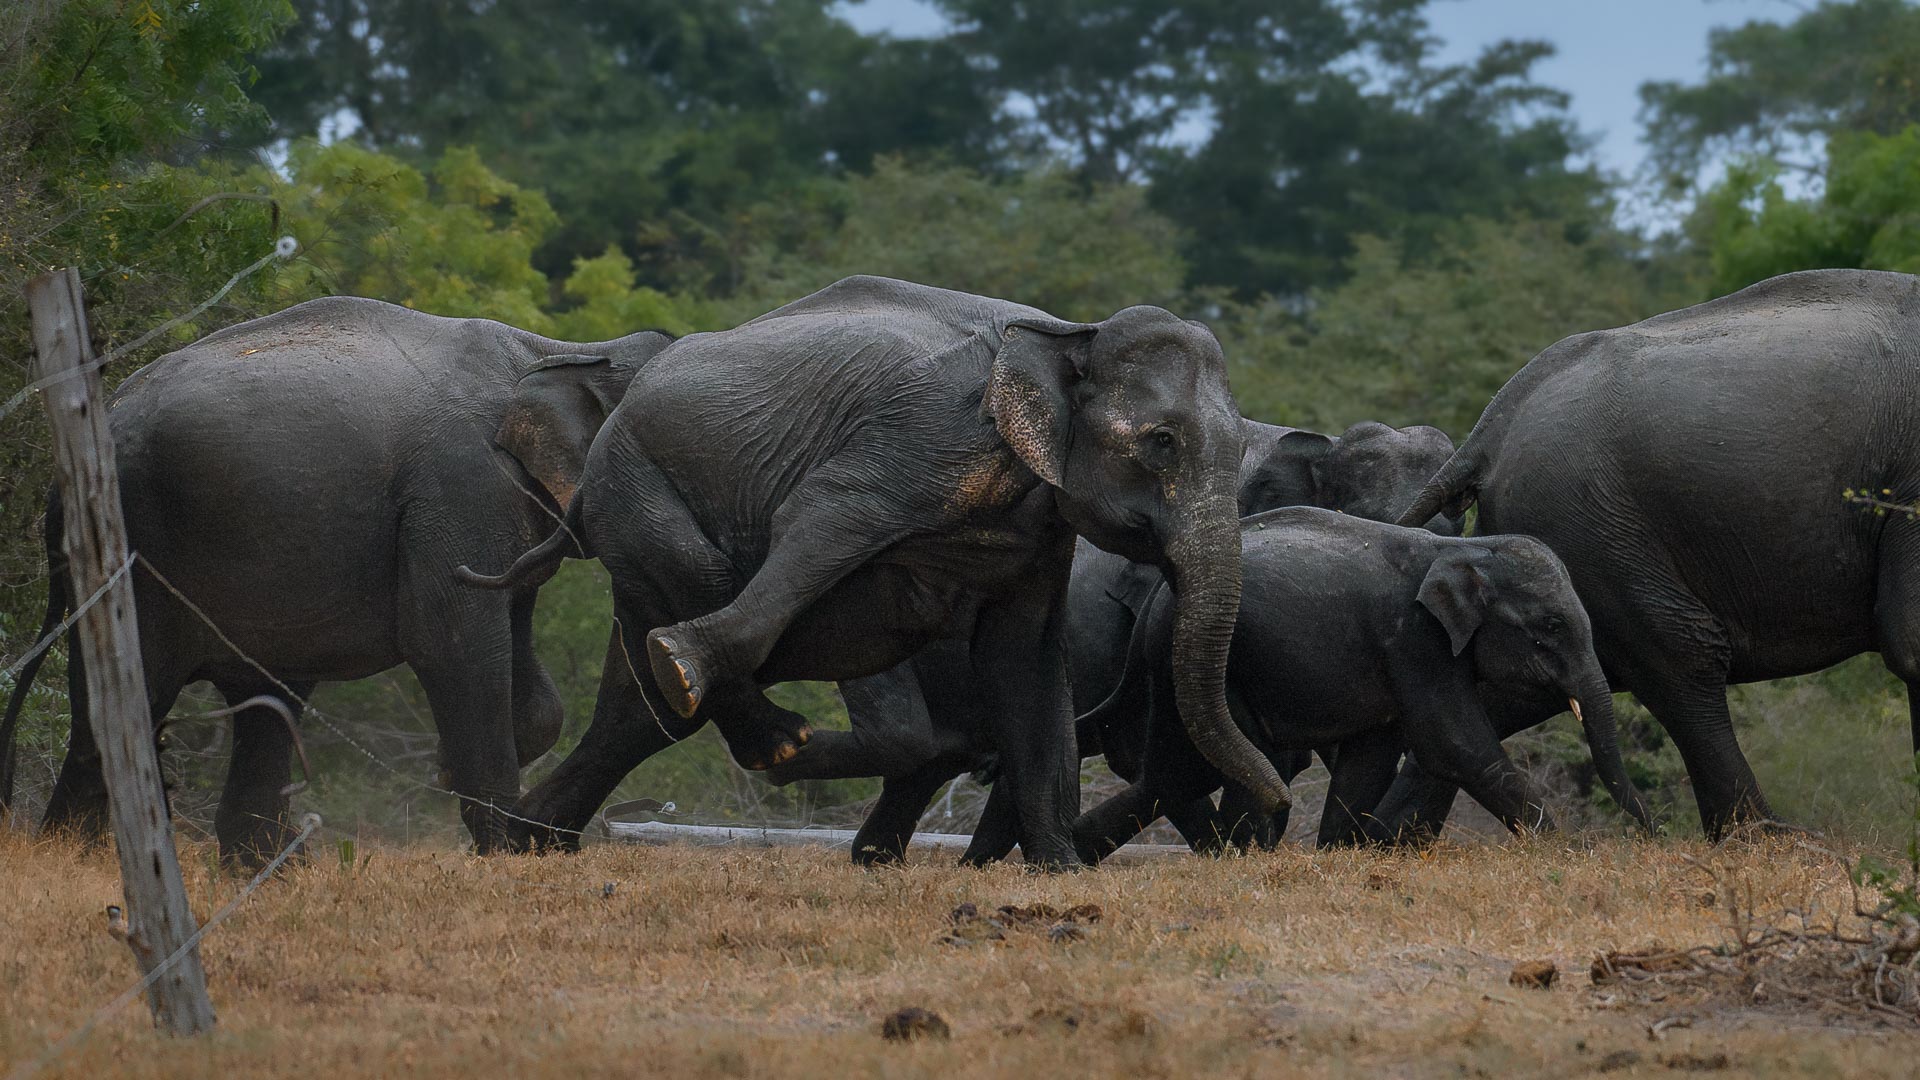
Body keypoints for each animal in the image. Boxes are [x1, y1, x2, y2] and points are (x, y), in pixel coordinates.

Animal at [0, 296, 672, 863]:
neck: (555, 349)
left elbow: (526, 672)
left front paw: (459, 778)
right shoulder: (460, 489)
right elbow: (451, 642)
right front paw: (503, 853)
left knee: (266, 700)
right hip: (138, 543)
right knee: (130, 691)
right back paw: (81, 856)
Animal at [457, 275, 1281, 868]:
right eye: (1162, 442)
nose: (1275, 801)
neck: (1069, 334)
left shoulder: (1045, 529)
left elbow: (1026, 658)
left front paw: (1060, 872)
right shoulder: (925, 435)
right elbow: (822, 524)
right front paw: (683, 661)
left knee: (637, 715)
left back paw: (525, 839)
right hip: (639, 483)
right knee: (696, 607)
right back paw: (747, 722)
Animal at [1070, 507, 1654, 863]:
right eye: (1551, 627)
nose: (1651, 834)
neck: (1462, 547)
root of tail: (1156, 603)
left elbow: (1372, 755)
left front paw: (1338, 852)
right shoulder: (1415, 640)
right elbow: (1454, 745)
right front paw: (1560, 851)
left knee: (1184, 770)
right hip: (1206, 665)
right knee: (1226, 761)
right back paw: (1238, 852)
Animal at [1391, 268, 1920, 840]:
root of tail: (1489, 427)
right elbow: (1910, 641)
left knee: (1513, 695)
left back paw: (1386, 840)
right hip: (1594, 528)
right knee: (1687, 661)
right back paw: (1774, 839)